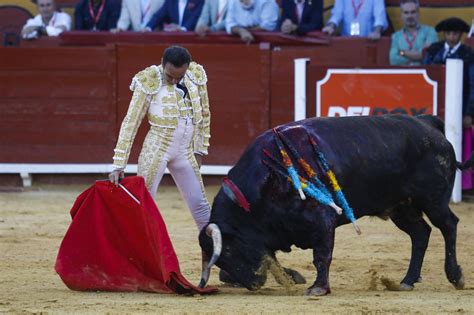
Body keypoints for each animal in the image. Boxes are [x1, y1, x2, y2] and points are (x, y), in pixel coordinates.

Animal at [198, 115, 468, 296]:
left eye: (228, 250)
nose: (253, 284)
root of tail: (428, 125)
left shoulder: (321, 220)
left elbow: (321, 255)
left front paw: (318, 288)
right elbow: (274, 258)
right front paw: (292, 278)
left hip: (433, 199)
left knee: (449, 225)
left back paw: (455, 276)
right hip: (402, 207)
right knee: (421, 233)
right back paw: (408, 280)